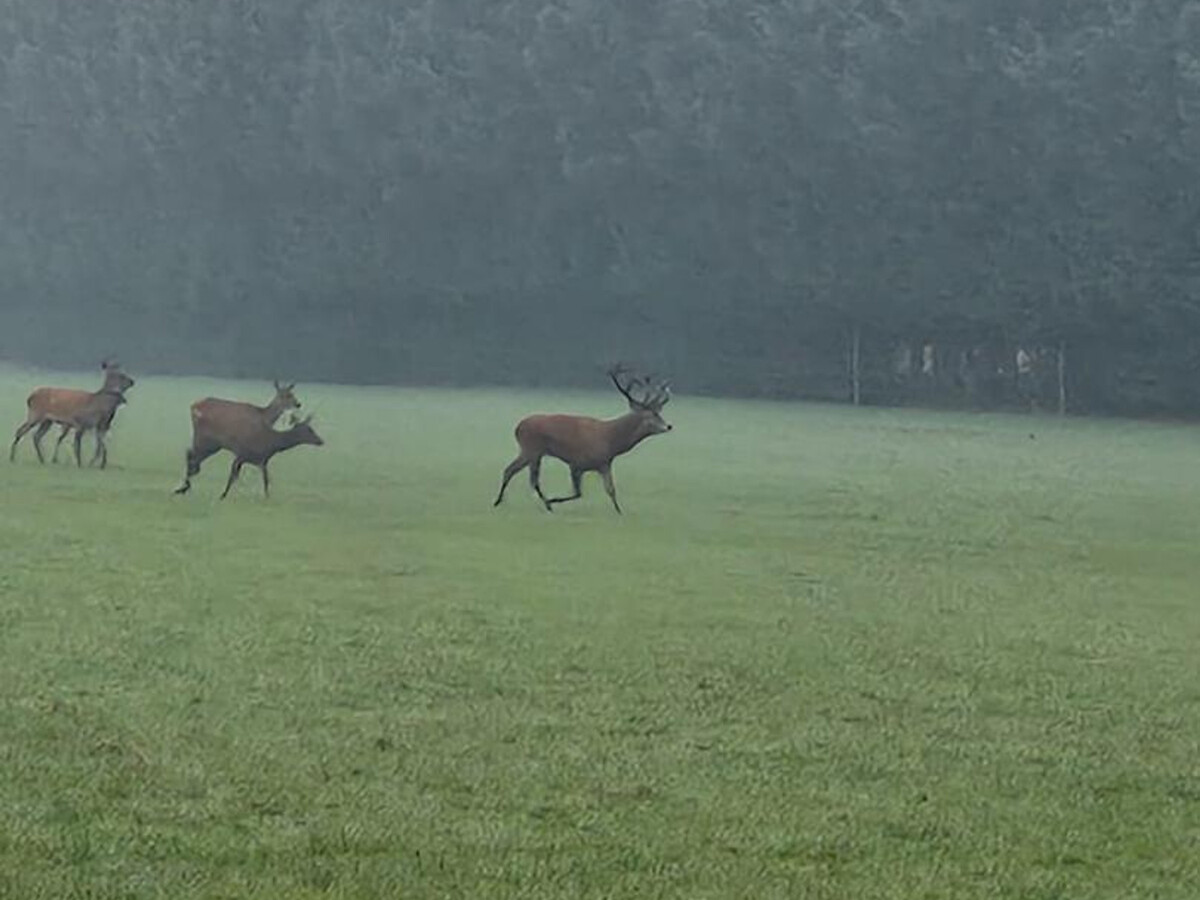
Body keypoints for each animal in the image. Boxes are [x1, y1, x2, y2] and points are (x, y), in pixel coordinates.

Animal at [173, 383, 322, 498]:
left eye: (292, 393)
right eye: (285, 396)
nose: (298, 404)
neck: (265, 418)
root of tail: (193, 406)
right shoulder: (242, 450)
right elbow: (237, 473)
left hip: (211, 443)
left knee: (192, 457)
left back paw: (185, 487)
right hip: (204, 438)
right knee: (191, 455)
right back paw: (184, 488)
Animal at [493, 366, 672, 514]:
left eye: (659, 413)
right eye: (651, 416)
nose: (668, 426)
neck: (611, 440)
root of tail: (517, 427)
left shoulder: (604, 463)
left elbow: (610, 490)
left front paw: (619, 511)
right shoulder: (576, 463)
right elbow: (578, 493)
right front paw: (553, 500)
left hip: (531, 451)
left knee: (517, 473)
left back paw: (504, 501)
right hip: (532, 448)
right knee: (524, 476)